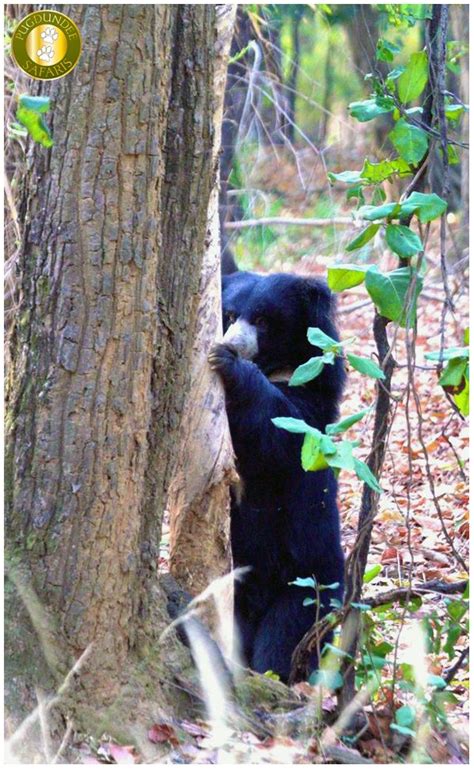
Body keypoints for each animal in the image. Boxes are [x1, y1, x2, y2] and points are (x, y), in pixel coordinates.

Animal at [209, 272, 346, 680]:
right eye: (230, 314)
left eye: (263, 320)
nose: (233, 344)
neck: (276, 366)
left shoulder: (311, 400)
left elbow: (280, 427)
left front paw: (226, 364)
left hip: (307, 586)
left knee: (282, 645)